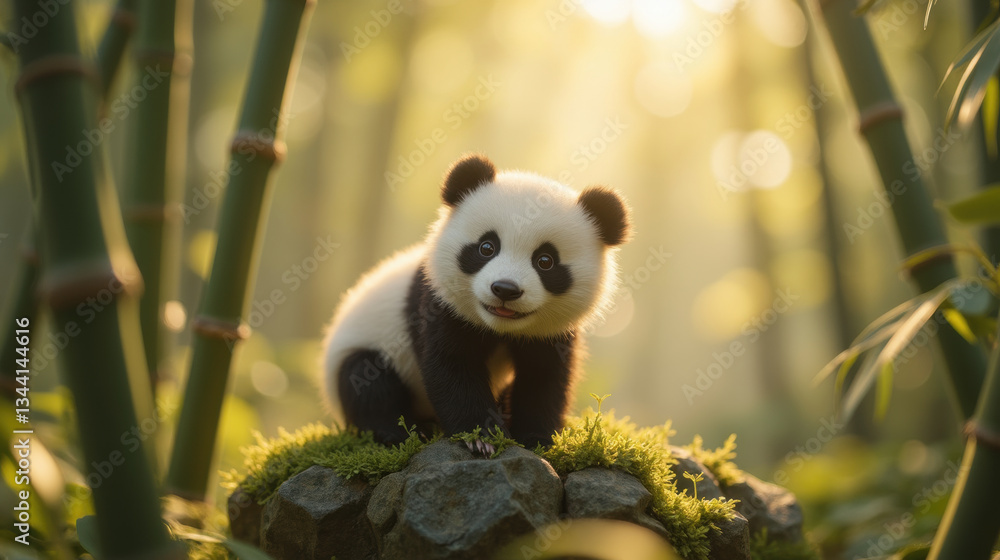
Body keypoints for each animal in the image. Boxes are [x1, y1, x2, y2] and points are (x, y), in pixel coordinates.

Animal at [321, 154, 630, 451]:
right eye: (487, 247)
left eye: (545, 261)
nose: (505, 289)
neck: (499, 327)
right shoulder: (439, 304)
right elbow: (452, 367)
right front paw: (481, 438)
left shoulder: (552, 332)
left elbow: (544, 376)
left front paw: (535, 437)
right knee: (365, 378)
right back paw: (401, 432)